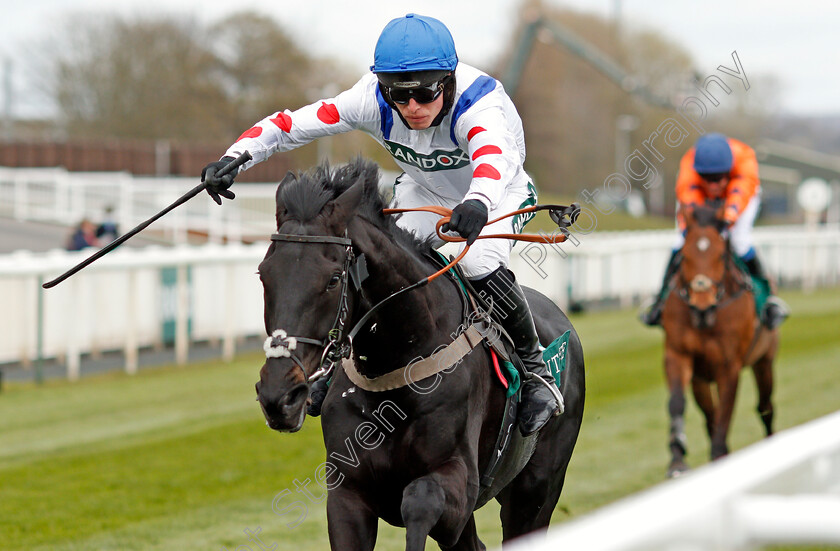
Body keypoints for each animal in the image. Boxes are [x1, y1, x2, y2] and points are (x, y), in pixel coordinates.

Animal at [254, 160, 584, 551]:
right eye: (263, 275)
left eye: (333, 279)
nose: (280, 396)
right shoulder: (348, 494)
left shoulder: (458, 481)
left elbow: (419, 500)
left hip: (535, 493)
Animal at [668, 205, 776, 476]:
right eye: (684, 256)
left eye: (720, 256)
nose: (702, 304)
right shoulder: (678, 354)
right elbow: (678, 402)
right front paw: (677, 459)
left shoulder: (729, 365)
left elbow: (726, 411)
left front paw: (718, 453)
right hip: (701, 378)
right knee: (710, 415)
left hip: (765, 360)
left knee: (765, 407)